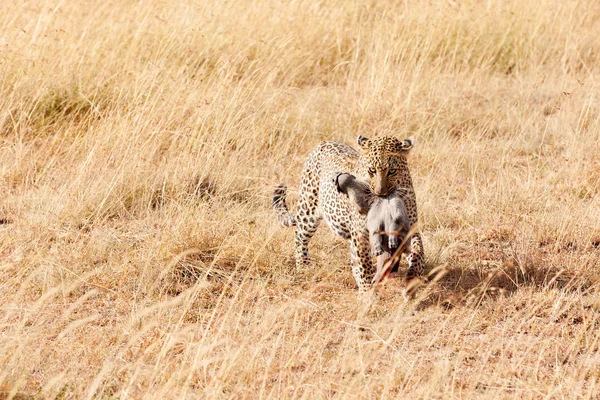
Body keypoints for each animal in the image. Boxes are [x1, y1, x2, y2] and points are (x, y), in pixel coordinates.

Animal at [272, 135, 422, 290]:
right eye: (372, 170)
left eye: (392, 171)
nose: (380, 192)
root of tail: (324, 143)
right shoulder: (360, 233)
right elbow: (364, 266)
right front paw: (366, 292)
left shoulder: (411, 226)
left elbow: (418, 250)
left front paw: (414, 274)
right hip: (308, 210)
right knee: (299, 237)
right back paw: (304, 266)